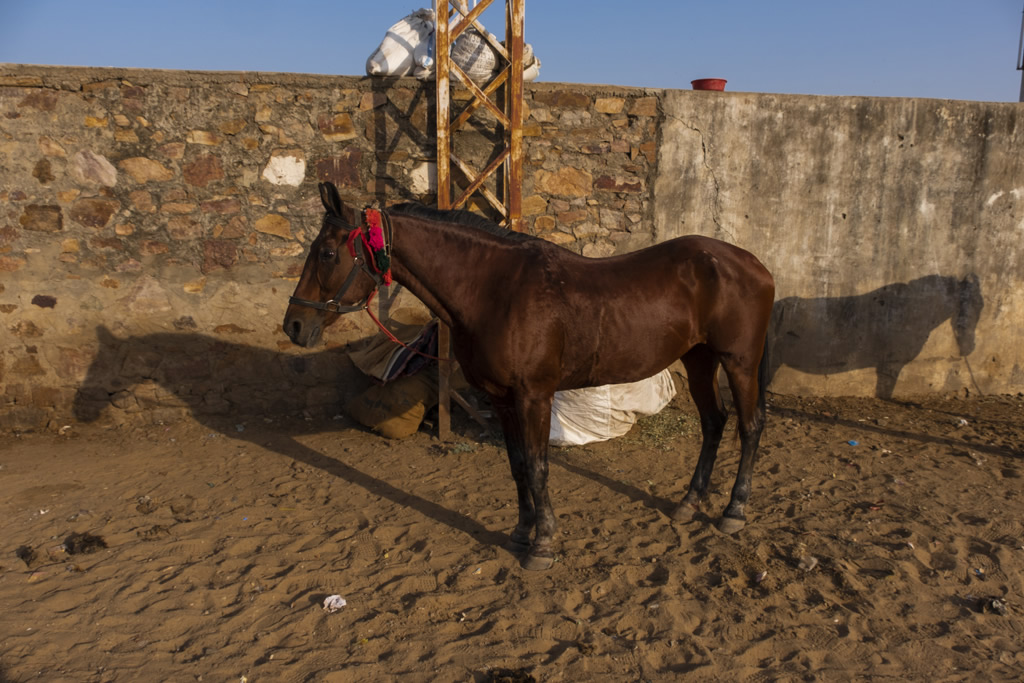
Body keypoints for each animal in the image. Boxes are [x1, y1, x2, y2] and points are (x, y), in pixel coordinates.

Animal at [284, 183, 770, 573]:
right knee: (714, 423)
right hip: (699, 359)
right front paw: (522, 531)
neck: (495, 291)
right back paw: (689, 503)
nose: (293, 326)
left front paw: (543, 543)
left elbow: (538, 467)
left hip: (739, 362)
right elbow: (517, 465)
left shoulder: (534, 396)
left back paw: (734, 510)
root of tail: (752, 264)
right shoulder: (501, 399)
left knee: (749, 427)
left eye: (327, 253)